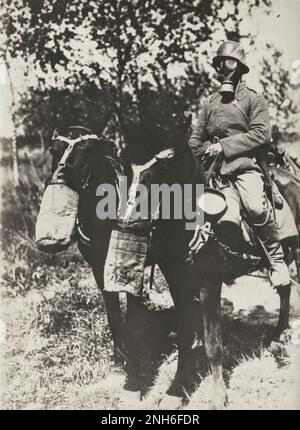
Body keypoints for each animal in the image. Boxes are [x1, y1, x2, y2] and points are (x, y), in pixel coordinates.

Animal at [45, 122, 298, 410]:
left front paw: (217, 395)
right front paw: (170, 389)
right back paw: (276, 336)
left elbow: (212, 343)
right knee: (285, 289)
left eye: (87, 152)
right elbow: (169, 332)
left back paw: (279, 336)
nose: (131, 219)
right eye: (54, 150)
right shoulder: (153, 278)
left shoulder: (207, 283)